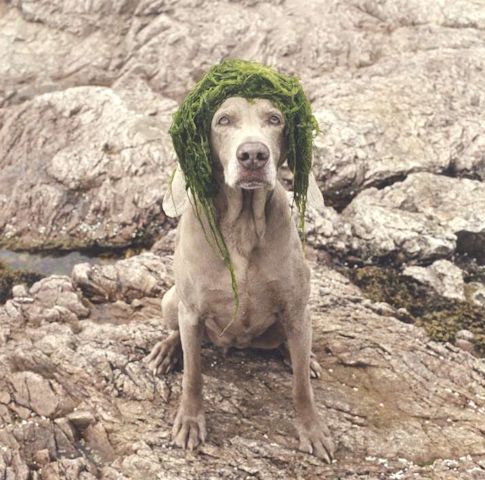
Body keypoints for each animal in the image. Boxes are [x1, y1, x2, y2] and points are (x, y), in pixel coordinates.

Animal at [147, 94, 332, 462]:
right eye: (223, 120)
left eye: (275, 119)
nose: (253, 155)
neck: (244, 224)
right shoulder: (191, 310)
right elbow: (193, 376)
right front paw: (190, 422)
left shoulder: (296, 308)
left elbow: (302, 388)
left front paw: (312, 430)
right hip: (170, 300)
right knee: (178, 333)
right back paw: (166, 351)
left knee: (292, 348)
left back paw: (300, 357)